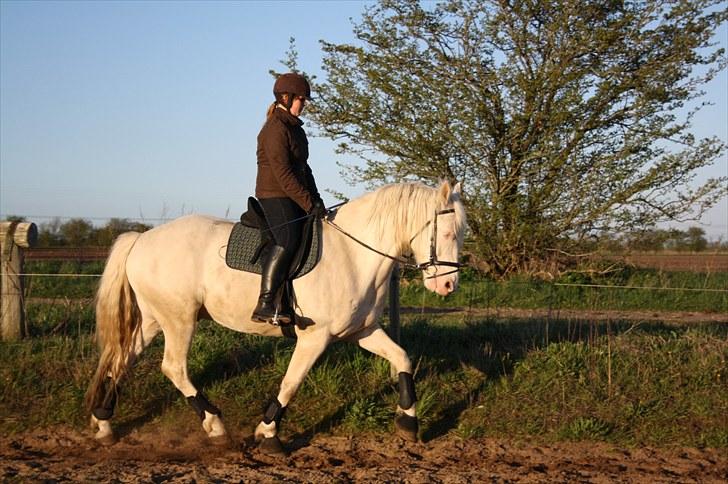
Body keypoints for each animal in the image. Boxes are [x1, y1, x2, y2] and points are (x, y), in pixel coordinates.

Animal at [86, 180, 466, 452]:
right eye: (447, 232)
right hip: (179, 319)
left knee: (123, 359)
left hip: (154, 319)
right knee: (173, 368)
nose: (448, 285)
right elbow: (291, 382)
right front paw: (269, 435)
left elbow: (402, 358)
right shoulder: (315, 338)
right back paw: (215, 426)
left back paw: (104, 424)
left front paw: (408, 423)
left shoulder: (363, 331)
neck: (353, 254)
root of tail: (141, 239)